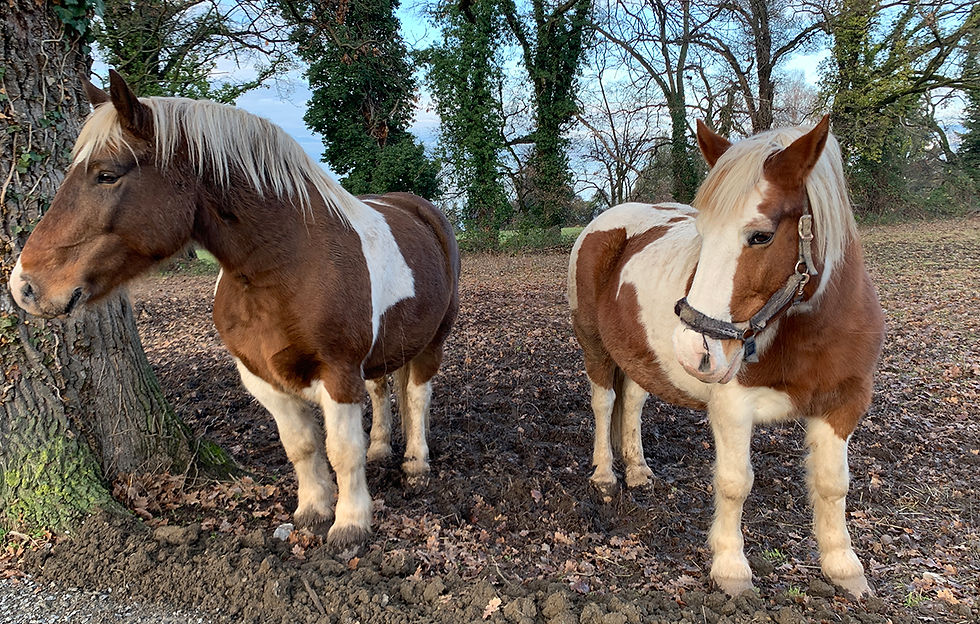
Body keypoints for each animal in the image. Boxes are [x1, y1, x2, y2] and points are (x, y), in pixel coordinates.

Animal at [8, 70, 460, 549]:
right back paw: (381, 449)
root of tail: (419, 207)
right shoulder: (261, 377)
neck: (286, 265)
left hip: (433, 340)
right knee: (380, 388)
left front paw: (351, 523)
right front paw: (313, 511)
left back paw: (415, 464)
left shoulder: (338, 373)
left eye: (106, 175)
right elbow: (302, 446)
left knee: (418, 395)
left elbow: (341, 450)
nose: (25, 286)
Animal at [568, 116, 884, 597]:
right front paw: (731, 569)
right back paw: (606, 475)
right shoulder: (733, 407)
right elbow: (735, 484)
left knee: (634, 404)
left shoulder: (844, 404)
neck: (810, 332)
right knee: (604, 403)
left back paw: (637, 470)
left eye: (761, 236)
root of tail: (603, 224)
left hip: (641, 356)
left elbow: (833, 485)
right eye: (702, 236)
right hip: (595, 346)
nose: (692, 348)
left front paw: (843, 567)